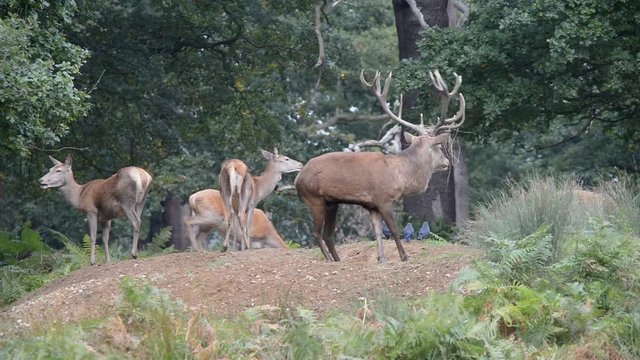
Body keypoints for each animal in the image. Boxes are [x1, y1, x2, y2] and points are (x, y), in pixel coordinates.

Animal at [296, 69, 464, 262]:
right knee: (316, 233)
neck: (401, 177)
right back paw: (330, 260)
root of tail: (297, 178)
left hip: (332, 202)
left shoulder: (372, 205)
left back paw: (337, 259)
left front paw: (381, 257)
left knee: (327, 235)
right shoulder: (384, 199)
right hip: (314, 197)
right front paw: (404, 256)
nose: (447, 162)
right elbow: (394, 230)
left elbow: (377, 232)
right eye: (439, 147)